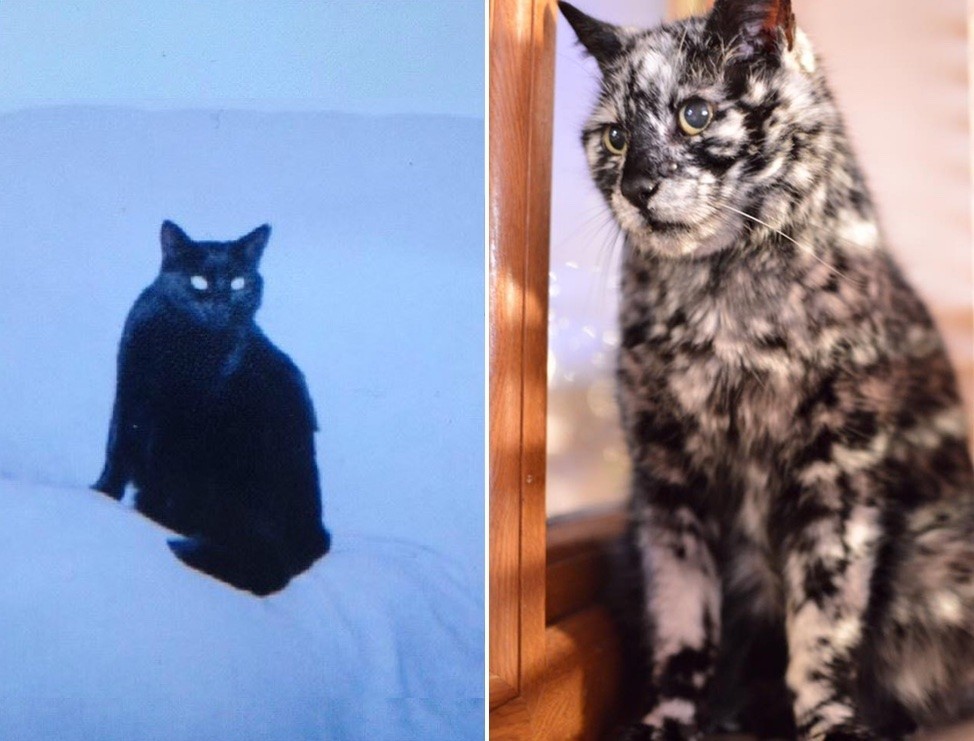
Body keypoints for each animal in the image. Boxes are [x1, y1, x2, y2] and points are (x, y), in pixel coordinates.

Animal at [95, 220, 332, 596]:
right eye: (198, 281)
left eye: (238, 283)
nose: (221, 302)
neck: (187, 343)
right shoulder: (130, 394)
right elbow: (116, 453)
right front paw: (101, 493)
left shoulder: (184, 424)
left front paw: (151, 516)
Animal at [560, 0, 974, 736]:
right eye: (612, 137)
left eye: (695, 114)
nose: (637, 186)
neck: (727, 316)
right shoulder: (668, 490)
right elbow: (682, 625)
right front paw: (669, 719)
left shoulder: (838, 481)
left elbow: (823, 629)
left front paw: (829, 722)